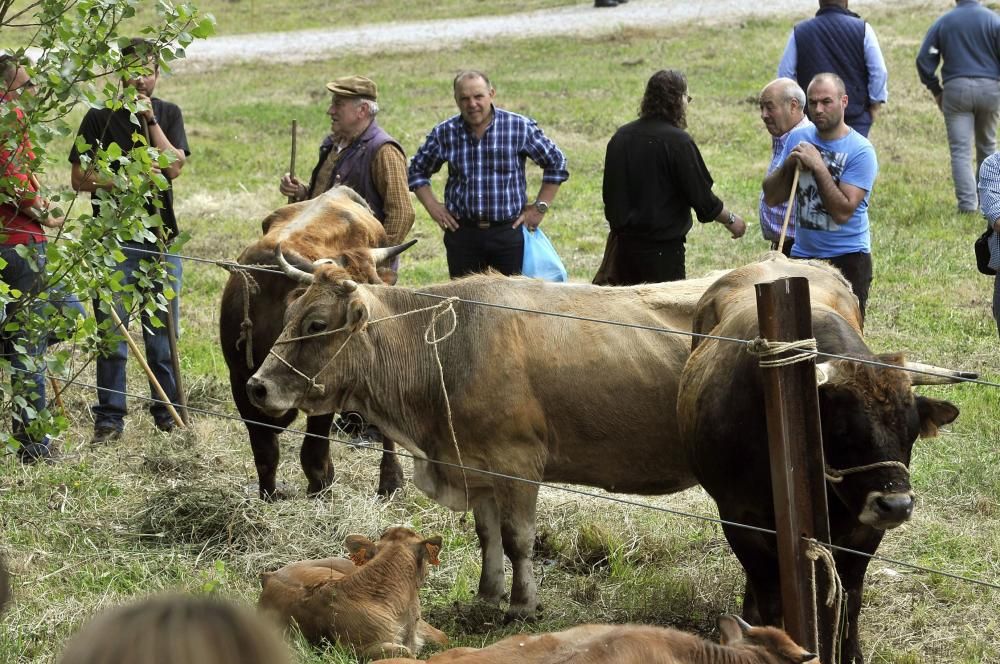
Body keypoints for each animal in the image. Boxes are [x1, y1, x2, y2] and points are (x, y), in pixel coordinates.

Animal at [220, 187, 414, 498]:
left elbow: (313, 453)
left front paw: (320, 492)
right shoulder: (240, 384)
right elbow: (265, 453)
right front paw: (268, 497)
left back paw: (390, 480)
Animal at [243, 256, 728, 620]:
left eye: (316, 323)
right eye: (288, 316)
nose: (257, 386)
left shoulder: (518, 464)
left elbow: (517, 538)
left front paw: (521, 605)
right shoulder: (475, 466)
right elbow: (487, 535)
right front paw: (487, 594)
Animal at [676, 252, 972, 660]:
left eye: (911, 432)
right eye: (843, 431)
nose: (896, 505)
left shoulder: (863, 532)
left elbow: (849, 599)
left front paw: (851, 654)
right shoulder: (741, 521)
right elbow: (771, 597)